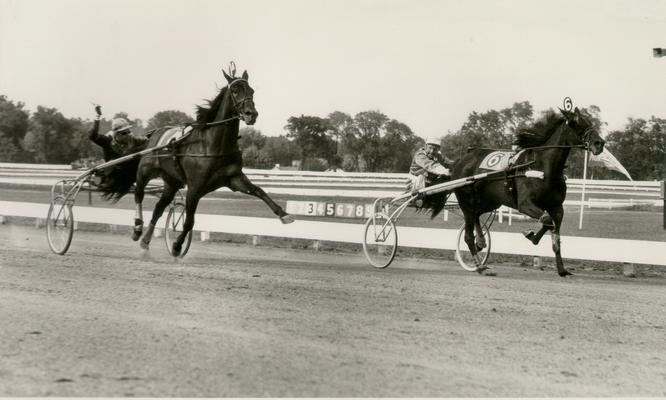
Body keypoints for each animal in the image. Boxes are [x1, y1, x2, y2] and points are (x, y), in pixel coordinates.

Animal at [101, 67, 294, 255]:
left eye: (252, 91)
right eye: (235, 91)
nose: (251, 114)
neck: (212, 145)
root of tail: (153, 134)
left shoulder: (234, 178)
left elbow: (258, 191)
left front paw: (284, 214)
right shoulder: (195, 187)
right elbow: (189, 221)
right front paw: (177, 246)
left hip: (172, 182)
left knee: (158, 208)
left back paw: (145, 241)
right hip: (145, 171)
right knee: (139, 195)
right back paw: (137, 228)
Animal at [452, 108, 600, 276]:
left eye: (589, 121)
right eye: (576, 123)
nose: (599, 143)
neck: (542, 167)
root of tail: (462, 160)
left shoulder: (557, 207)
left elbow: (553, 232)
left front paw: (562, 269)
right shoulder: (525, 204)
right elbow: (547, 220)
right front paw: (531, 235)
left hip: (489, 202)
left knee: (477, 215)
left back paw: (481, 242)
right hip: (466, 202)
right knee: (468, 234)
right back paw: (480, 265)